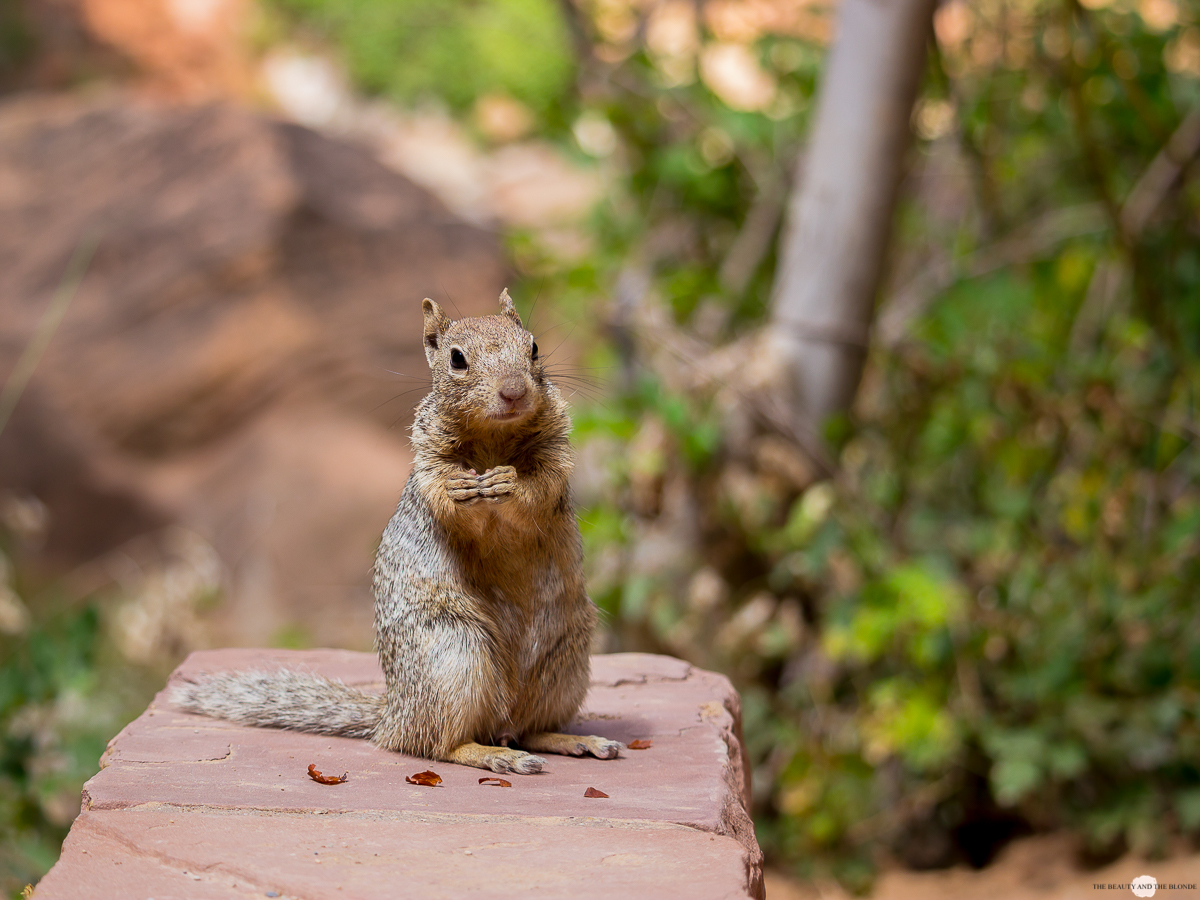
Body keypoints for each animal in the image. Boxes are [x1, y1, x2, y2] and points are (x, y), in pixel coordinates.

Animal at [175, 290, 628, 777]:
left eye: (534, 346)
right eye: (457, 359)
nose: (514, 392)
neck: (494, 438)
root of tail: (393, 713)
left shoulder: (556, 452)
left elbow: (541, 488)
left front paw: (509, 483)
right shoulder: (428, 460)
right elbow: (445, 496)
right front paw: (463, 487)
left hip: (565, 661)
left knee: (527, 729)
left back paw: (575, 741)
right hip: (453, 655)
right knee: (436, 744)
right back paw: (494, 755)